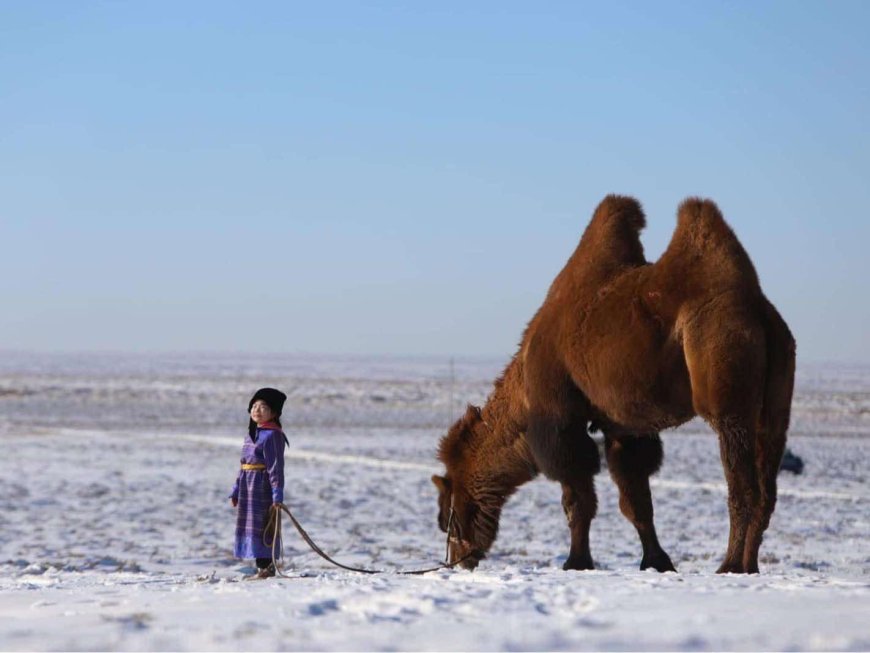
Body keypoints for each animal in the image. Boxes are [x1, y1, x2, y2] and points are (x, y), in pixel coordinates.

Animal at [434, 196, 796, 572]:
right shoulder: (624, 427)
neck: (522, 393)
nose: (458, 560)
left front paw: (576, 561)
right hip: (776, 400)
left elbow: (577, 499)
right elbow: (636, 502)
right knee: (768, 485)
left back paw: (730, 565)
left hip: (724, 371)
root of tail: (758, 311)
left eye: (446, 517)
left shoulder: (560, 418)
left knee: (742, 485)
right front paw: (657, 561)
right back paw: (750, 565)